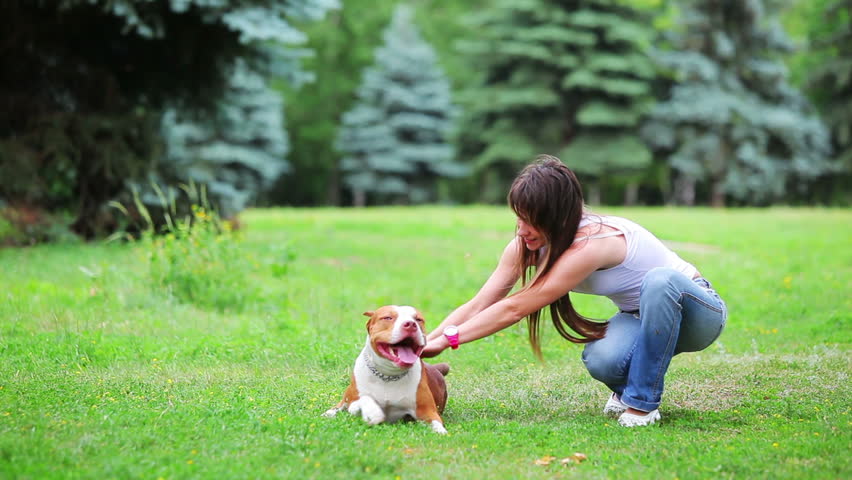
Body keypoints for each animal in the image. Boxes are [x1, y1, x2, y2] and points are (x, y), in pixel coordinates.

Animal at [322, 308, 452, 436]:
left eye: (418, 319)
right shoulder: (353, 402)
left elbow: (436, 422)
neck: (388, 375)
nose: (411, 324)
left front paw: (440, 431)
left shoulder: (427, 411)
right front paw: (373, 412)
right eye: (388, 318)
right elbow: (364, 399)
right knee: (338, 407)